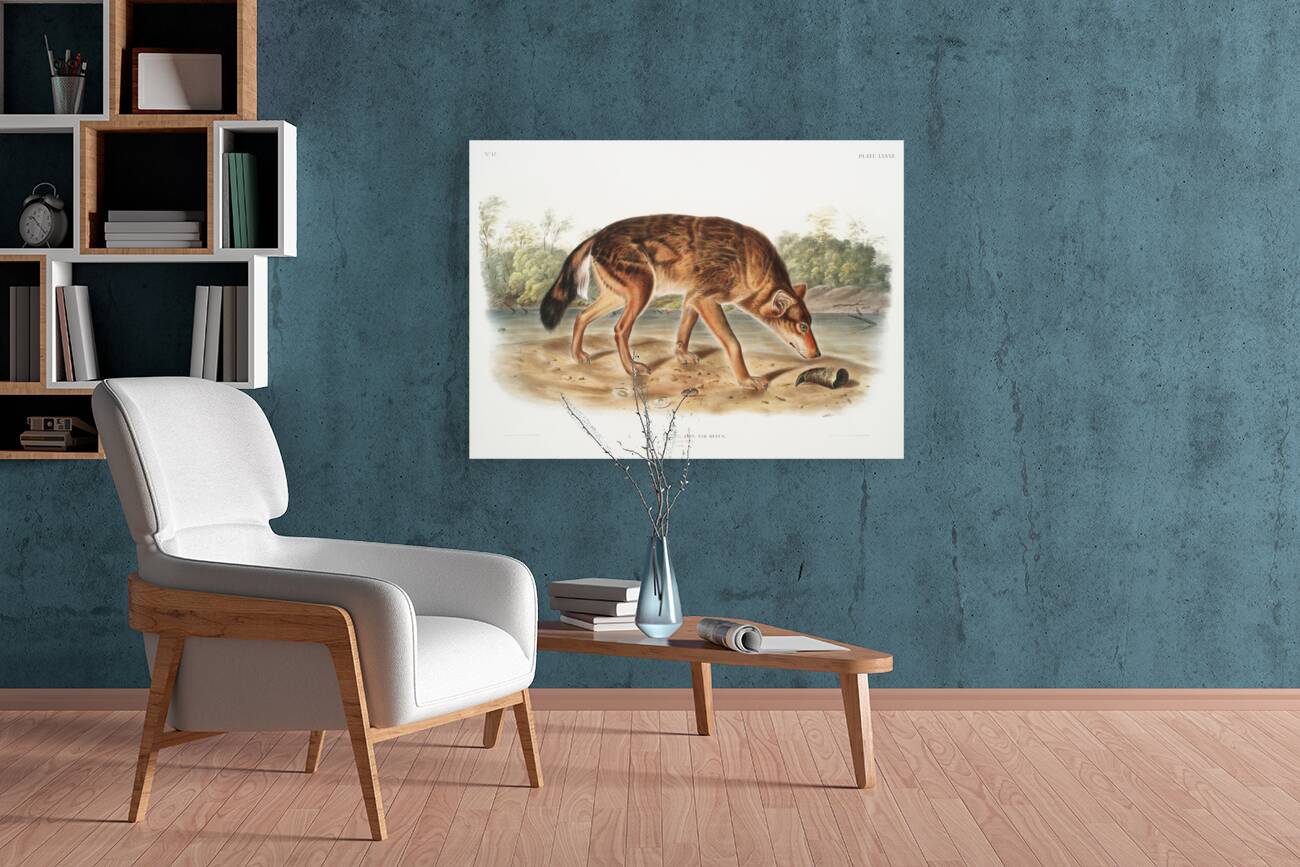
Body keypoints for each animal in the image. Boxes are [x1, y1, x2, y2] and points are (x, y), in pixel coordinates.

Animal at [539, 215, 820, 391]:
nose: (818, 354)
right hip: (641, 291)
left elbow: (684, 329)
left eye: (810, 323)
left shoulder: (694, 296)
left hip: (618, 295)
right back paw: (631, 368)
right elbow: (733, 343)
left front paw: (682, 355)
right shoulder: (706, 298)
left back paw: (577, 354)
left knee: (582, 315)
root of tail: (597, 235)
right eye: (802, 327)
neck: (754, 266)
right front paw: (746, 380)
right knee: (620, 329)